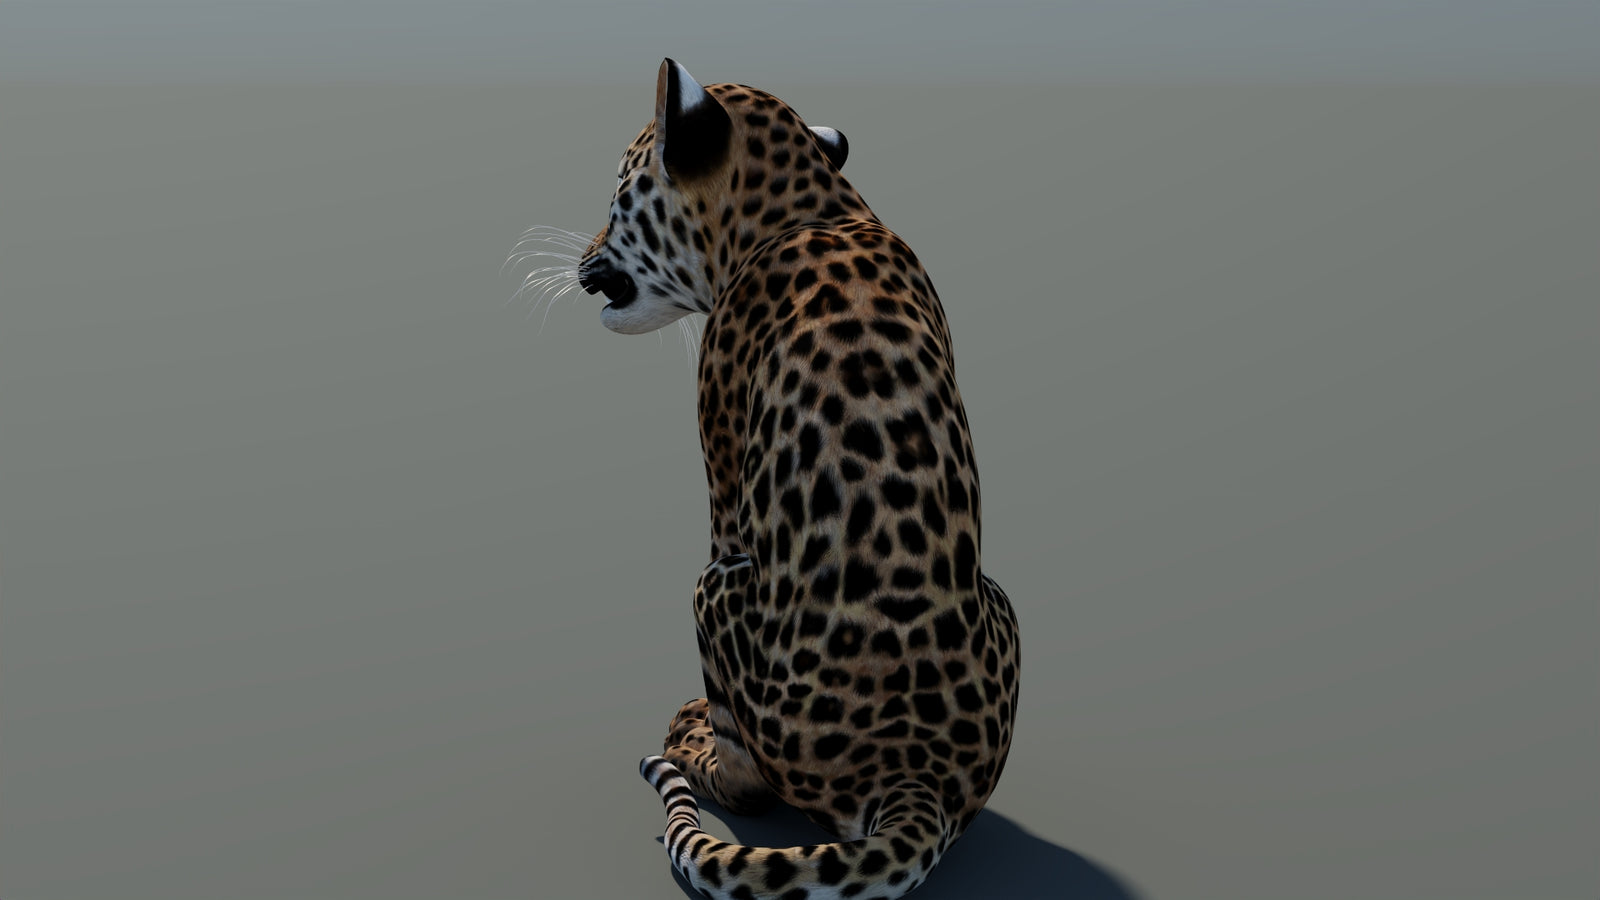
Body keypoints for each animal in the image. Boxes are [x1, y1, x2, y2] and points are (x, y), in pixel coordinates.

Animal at [573, 59, 1020, 900]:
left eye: (619, 191)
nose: (588, 255)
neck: (809, 206)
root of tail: (918, 769)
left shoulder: (724, 473)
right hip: (1003, 602)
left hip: (713, 591)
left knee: (748, 777)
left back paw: (696, 746)